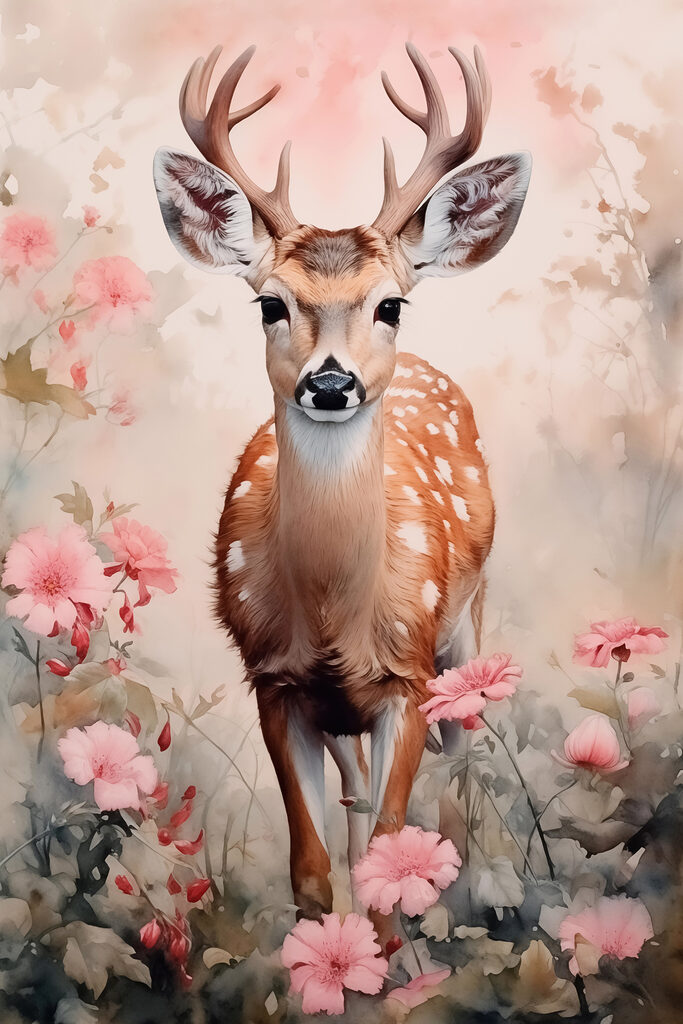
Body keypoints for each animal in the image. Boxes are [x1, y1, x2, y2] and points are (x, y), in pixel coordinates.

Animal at [153, 41, 530, 932]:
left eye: (389, 303)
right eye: (269, 304)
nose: (330, 384)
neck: (333, 611)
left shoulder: (407, 676)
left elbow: (393, 858)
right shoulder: (275, 680)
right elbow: (314, 871)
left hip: (467, 627)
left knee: (462, 759)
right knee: (355, 797)